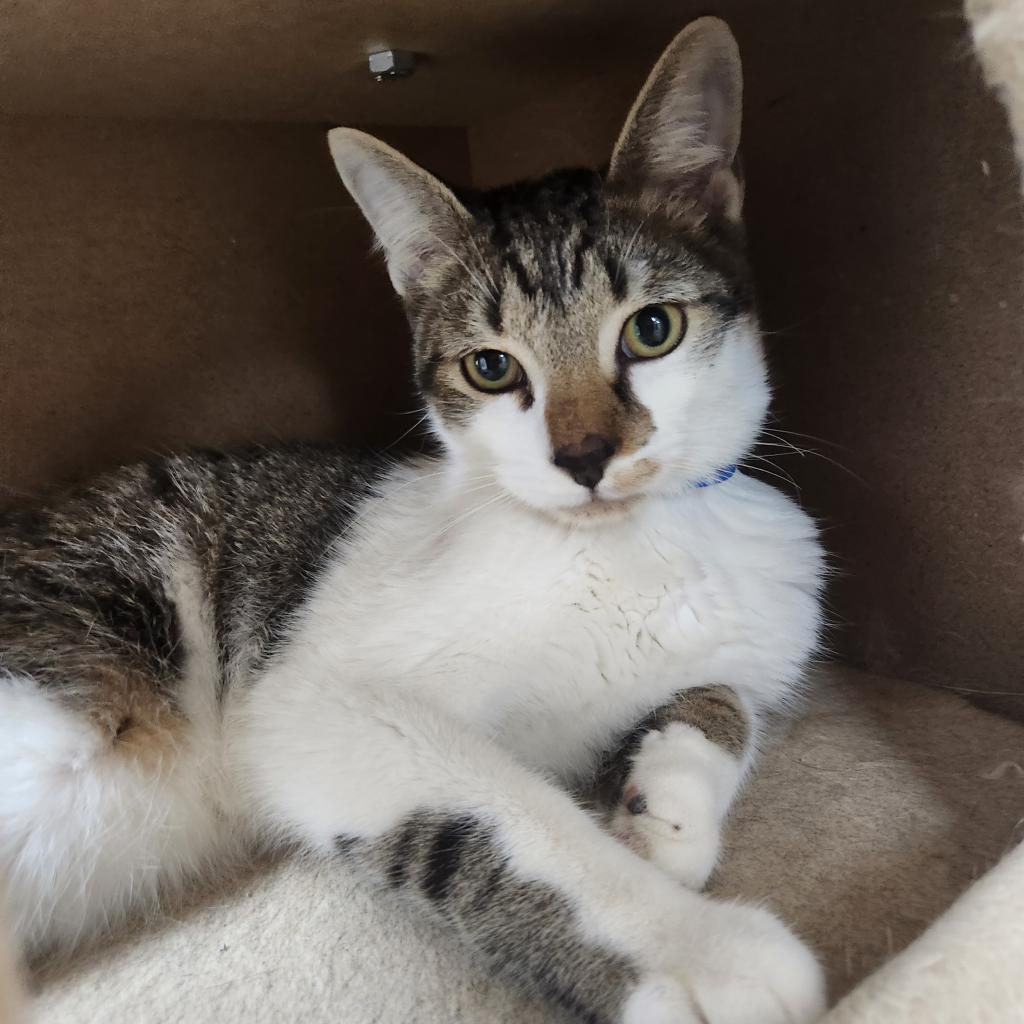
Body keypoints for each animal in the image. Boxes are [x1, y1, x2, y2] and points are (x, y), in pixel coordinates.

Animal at [0, 18, 823, 1024]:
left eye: (653, 328)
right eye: (491, 368)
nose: (585, 457)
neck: (626, 544)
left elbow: (727, 695)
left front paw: (668, 806)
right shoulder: (313, 698)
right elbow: (508, 816)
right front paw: (699, 950)